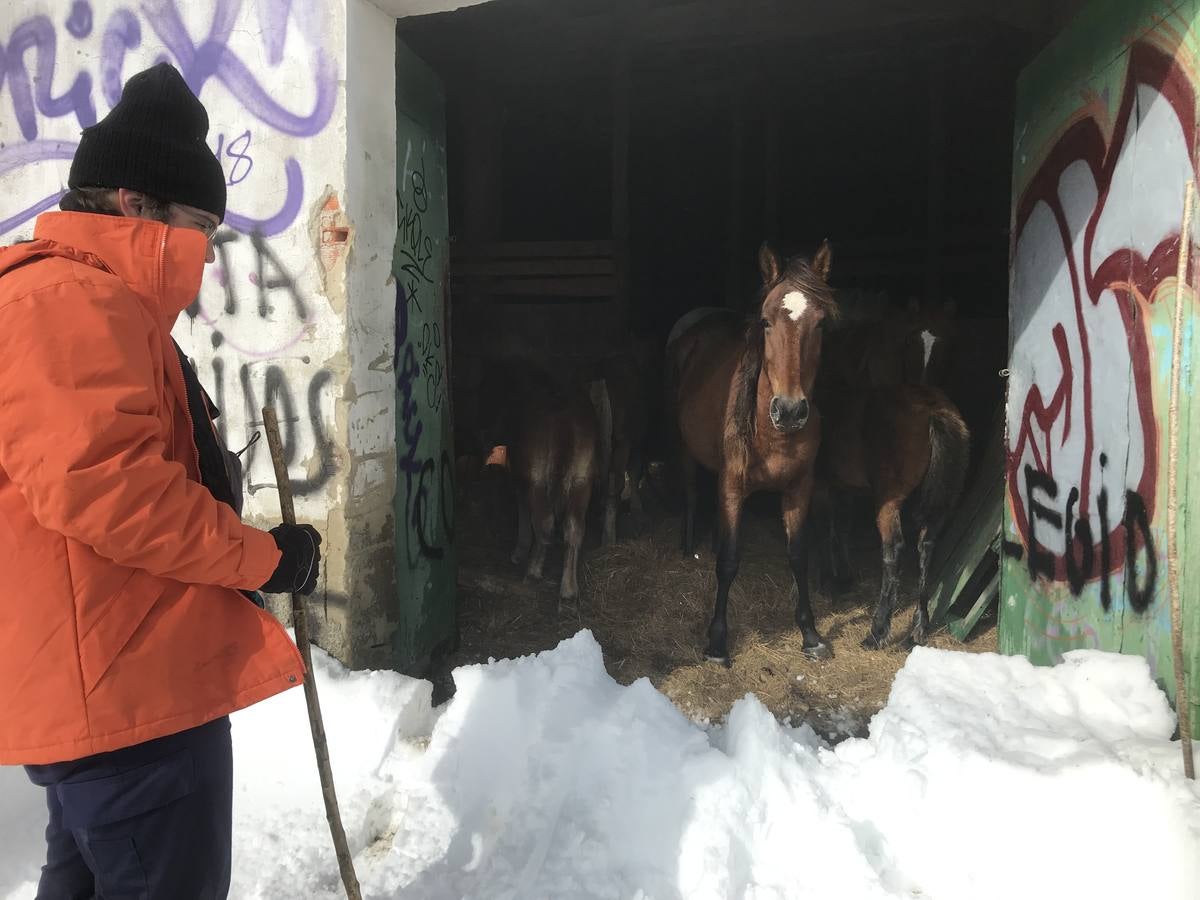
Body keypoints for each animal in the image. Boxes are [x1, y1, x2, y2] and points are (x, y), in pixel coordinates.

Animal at [667, 243, 835, 667]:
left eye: (821, 324)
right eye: (765, 321)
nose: (789, 410)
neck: (773, 433)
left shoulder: (799, 487)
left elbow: (798, 555)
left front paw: (810, 634)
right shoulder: (733, 483)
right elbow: (728, 561)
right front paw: (716, 643)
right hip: (685, 447)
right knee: (691, 492)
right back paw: (688, 546)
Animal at [816, 384, 974, 652]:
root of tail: (934, 409)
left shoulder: (829, 486)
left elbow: (831, 531)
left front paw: (834, 581)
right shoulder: (844, 489)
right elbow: (842, 528)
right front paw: (844, 579)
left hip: (888, 501)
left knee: (893, 550)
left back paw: (877, 632)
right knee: (926, 547)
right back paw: (918, 631)